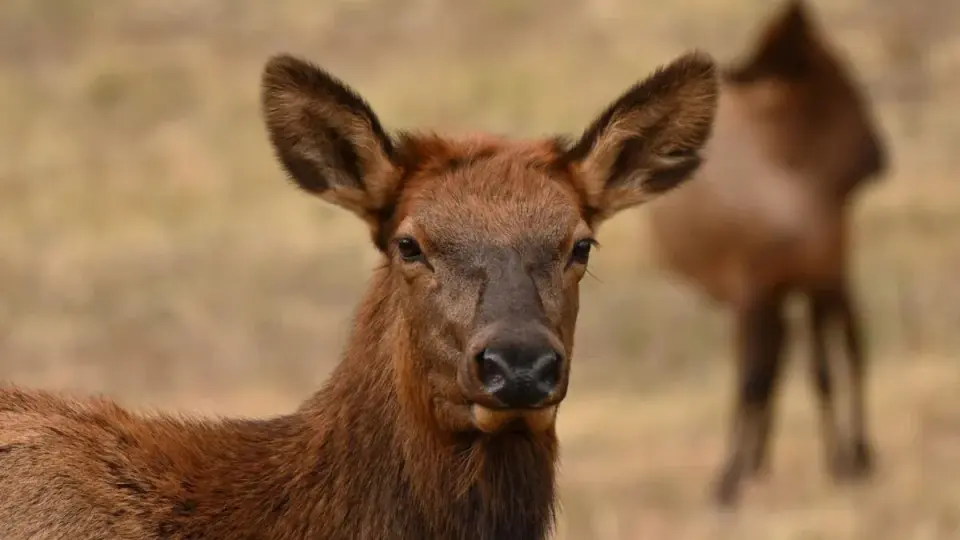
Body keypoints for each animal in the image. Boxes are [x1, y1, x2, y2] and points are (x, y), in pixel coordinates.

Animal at [643, 0, 889, 506]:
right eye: (845, 84)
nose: (878, 158)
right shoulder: (756, 287)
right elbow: (757, 379)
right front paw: (730, 479)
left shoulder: (818, 279)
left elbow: (823, 369)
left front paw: (844, 463)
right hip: (768, 298)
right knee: (772, 362)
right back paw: (760, 463)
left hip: (821, 283)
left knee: (842, 347)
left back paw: (849, 454)